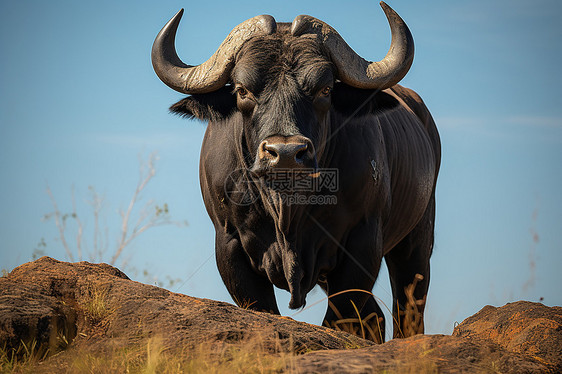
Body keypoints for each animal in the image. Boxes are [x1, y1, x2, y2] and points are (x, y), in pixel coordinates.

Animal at [152, 2, 438, 342]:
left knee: (407, 312)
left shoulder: (363, 241)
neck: (287, 212)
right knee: (375, 316)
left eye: (325, 89)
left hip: (417, 243)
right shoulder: (229, 243)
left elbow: (339, 319)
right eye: (242, 90)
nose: (286, 153)